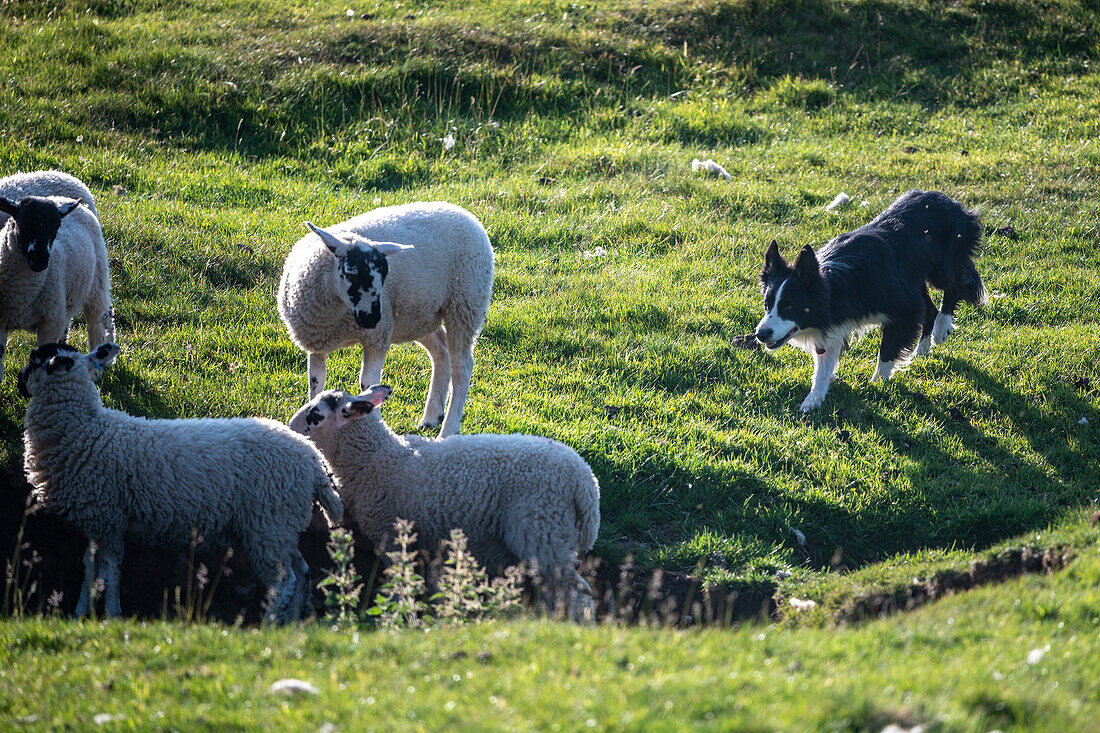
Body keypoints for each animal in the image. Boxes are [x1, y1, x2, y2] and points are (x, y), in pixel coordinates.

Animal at [20, 338, 343, 620]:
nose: (19, 380)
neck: (85, 430)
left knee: (284, 582)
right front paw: (80, 613)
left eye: (35, 362)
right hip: (281, 526)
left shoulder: (109, 518)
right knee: (302, 572)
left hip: (268, 525)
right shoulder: (96, 520)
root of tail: (311, 457)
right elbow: (89, 567)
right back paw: (293, 622)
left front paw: (112, 615)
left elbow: (110, 572)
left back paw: (271, 624)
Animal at [277, 200, 497, 435]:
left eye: (384, 275)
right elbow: (316, 383)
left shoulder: (377, 337)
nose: (372, 319)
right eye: (350, 271)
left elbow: (368, 385)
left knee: (462, 368)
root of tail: (463, 212)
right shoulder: (317, 342)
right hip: (419, 316)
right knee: (441, 352)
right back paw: (431, 416)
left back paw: (448, 429)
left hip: (465, 304)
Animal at [756, 188, 990, 411]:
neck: (835, 286)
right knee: (929, 308)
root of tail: (950, 200)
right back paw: (922, 350)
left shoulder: (903, 306)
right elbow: (824, 360)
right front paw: (813, 399)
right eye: (767, 305)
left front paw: (877, 383)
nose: (760, 334)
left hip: (947, 256)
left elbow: (887, 349)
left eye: (789, 306)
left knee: (953, 284)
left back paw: (942, 327)